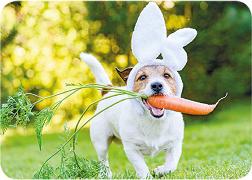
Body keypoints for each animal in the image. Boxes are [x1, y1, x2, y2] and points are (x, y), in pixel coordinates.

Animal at [80, 1, 197, 179]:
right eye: (142, 77)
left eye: (166, 75)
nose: (157, 85)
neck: (154, 121)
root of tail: (109, 90)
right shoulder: (131, 148)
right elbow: (141, 167)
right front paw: (147, 175)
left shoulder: (175, 143)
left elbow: (171, 164)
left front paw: (161, 170)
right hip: (100, 139)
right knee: (103, 159)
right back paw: (105, 174)